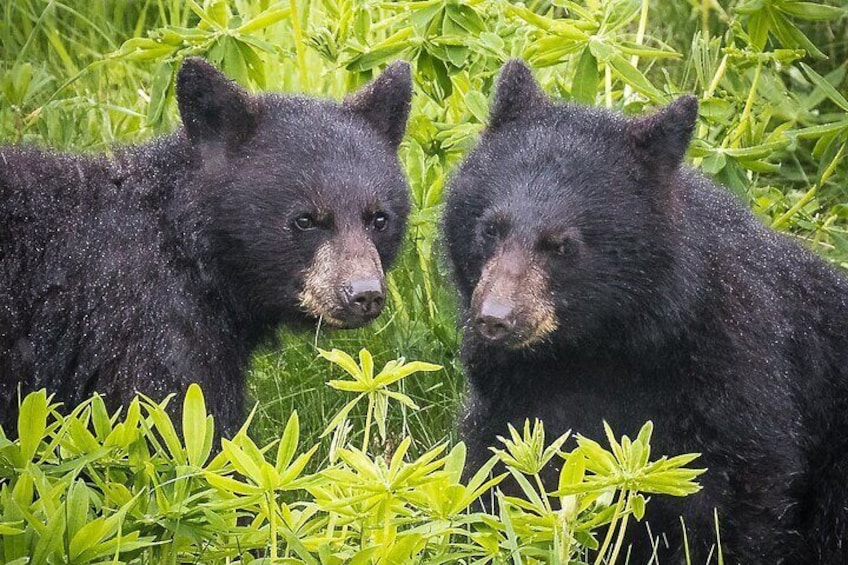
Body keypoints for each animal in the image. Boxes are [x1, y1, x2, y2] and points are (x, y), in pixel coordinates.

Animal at [0, 58, 412, 438]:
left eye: (379, 219)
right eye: (305, 219)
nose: (364, 294)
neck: (190, 253)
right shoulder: (149, 332)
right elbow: (179, 428)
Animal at [443, 60, 848, 564]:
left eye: (562, 245)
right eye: (491, 228)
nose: (495, 318)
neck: (600, 342)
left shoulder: (737, 371)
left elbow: (739, 500)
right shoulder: (513, 390)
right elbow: (501, 468)